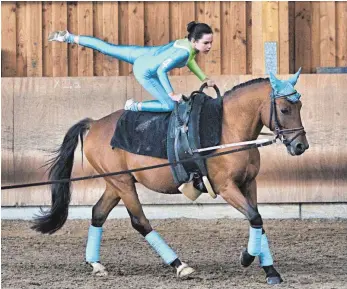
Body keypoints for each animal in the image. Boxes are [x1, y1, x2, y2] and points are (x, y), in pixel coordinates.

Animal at [32, 70, 310, 284]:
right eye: (284, 108)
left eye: (300, 106)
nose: (300, 146)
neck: (228, 130)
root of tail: (95, 124)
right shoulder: (226, 187)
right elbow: (254, 217)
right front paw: (247, 257)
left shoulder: (248, 184)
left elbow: (258, 221)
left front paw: (270, 271)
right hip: (123, 184)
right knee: (140, 221)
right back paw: (179, 265)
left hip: (116, 183)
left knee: (98, 213)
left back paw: (96, 264)